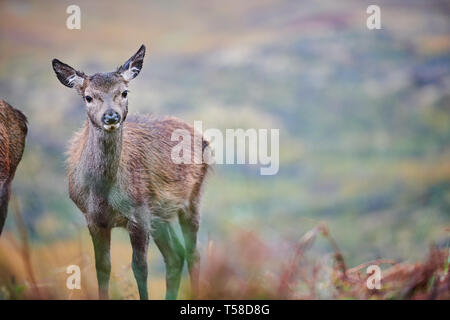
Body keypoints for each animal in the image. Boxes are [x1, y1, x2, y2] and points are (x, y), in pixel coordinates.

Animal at [51, 45, 210, 300]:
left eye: (124, 92)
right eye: (88, 97)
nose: (111, 116)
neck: (102, 192)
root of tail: (203, 138)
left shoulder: (139, 213)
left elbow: (140, 268)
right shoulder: (93, 219)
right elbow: (103, 268)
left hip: (192, 198)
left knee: (193, 253)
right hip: (160, 214)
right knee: (175, 256)